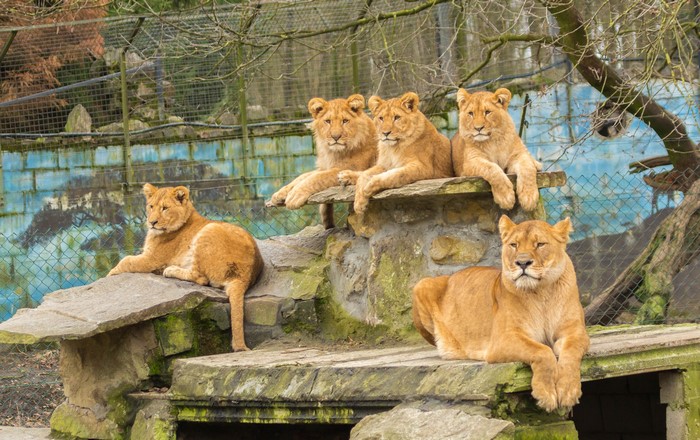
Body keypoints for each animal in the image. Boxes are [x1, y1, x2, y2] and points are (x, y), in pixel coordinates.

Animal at [109, 183, 264, 352]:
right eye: (151, 206)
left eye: (165, 208)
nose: (152, 222)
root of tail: (245, 276)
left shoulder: (152, 259)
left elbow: (126, 260)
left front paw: (110, 273)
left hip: (209, 230)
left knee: (201, 278)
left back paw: (170, 270)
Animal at [266, 94, 377, 228]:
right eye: (328, 121)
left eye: (345, 121)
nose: (335, 137)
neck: (332, 152)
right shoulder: (324, 167)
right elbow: (302, 177)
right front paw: (279, 194)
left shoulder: (346, 167)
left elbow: (316, 178)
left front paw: (294, 195)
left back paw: (346, 177)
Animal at [412, 215, 590, 412]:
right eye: (514, 245)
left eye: (540, 244)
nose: (522, 263)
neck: (541, 293)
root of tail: (451, 275)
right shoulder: (503, 339)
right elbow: (541, 351)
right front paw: (546, 395)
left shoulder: (575, 332)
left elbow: (571, 353)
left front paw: (568, 392)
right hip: (422, 284)